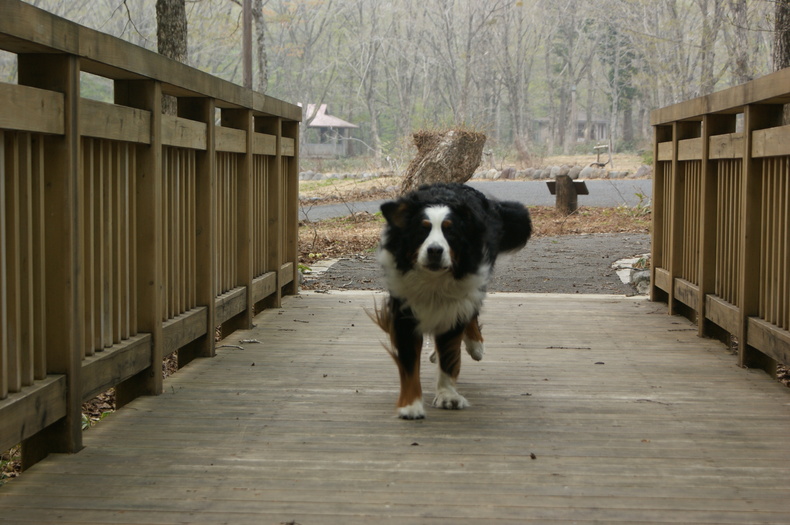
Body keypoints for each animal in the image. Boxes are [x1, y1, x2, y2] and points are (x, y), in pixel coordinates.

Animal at [374, 182, 536, 420]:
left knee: (472, 312)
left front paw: (447, 396)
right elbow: (410, 362)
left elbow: (450, 354)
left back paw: (475, 346)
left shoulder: (455, 306)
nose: (434, 250)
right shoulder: (405, 310)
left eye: (450, 231)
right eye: (422, 230)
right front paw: (410, 405)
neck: (434, 282)